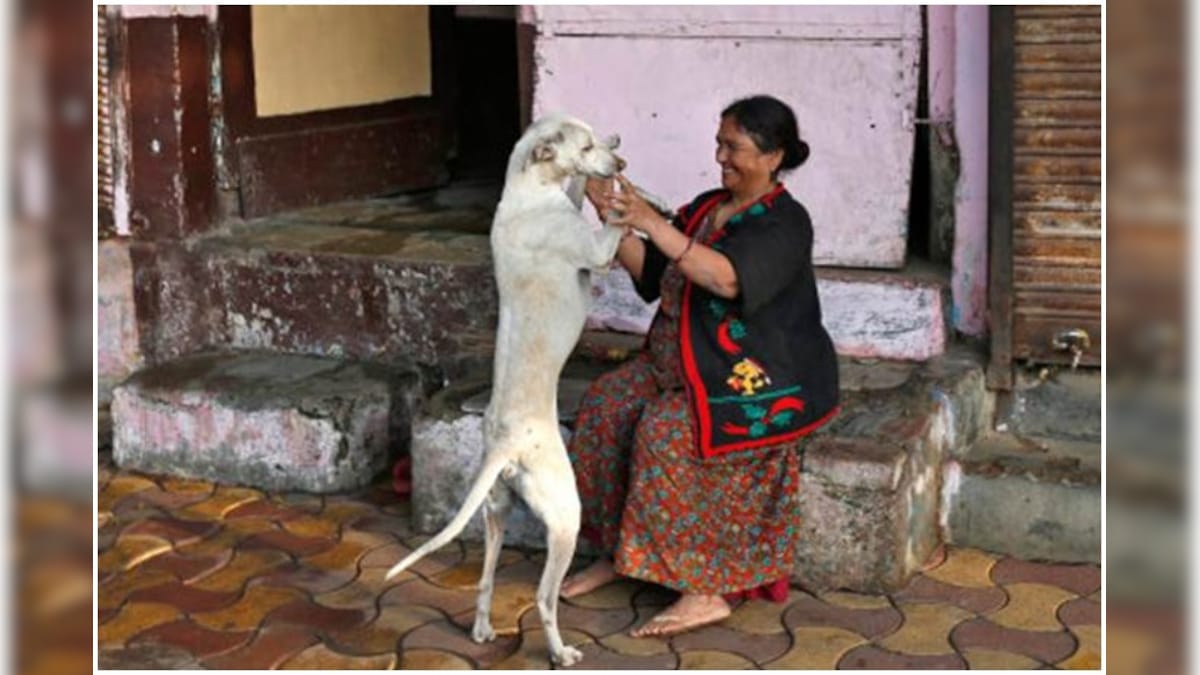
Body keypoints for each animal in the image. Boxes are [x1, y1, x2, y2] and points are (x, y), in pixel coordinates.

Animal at [386, 114, 633, 662]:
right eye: (586, 145)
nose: (620, 158)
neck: (527, 189)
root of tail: (506, 445)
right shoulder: (597, 250)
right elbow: (614, 221)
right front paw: (639, 201)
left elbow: (580, 191)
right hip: (564, 515)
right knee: (543, 598)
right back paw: (561, 653)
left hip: (495, 512)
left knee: (485, 577)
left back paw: (482, 628)